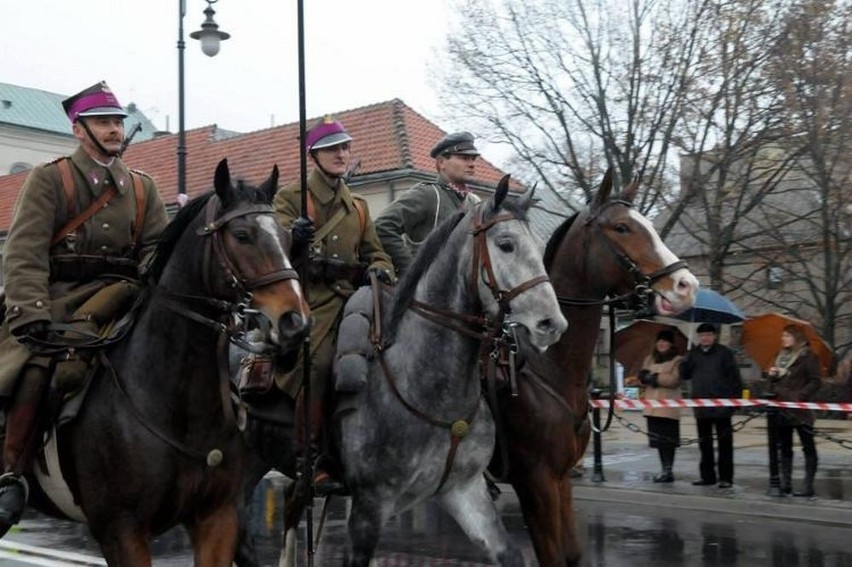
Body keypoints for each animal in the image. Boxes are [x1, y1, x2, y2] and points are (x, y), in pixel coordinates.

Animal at [332, 175, 564, 564]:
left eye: (539, 245)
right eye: (506, 244)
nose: (552, 324)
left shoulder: (464, 489)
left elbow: (508, 553)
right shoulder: (369, 506)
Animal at [492, 170, 700, 567]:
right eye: (622, 227)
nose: (686, 285)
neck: (547, 364)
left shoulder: (560, 479)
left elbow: (572, 553)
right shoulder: (535, 482)